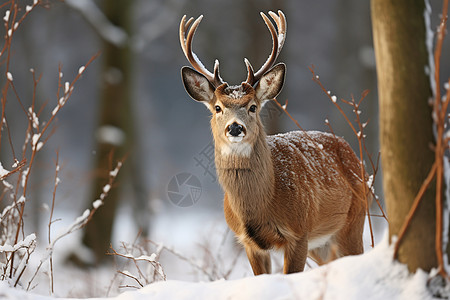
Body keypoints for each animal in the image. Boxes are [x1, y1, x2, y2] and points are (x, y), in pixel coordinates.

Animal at [178, 10, 368, 276]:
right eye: (217, 108)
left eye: (252, 107)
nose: (235, 127)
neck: (261, 206)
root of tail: (350, 150)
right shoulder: (249, 243)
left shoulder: (299, 232)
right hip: (322, 244)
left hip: (353, 220)